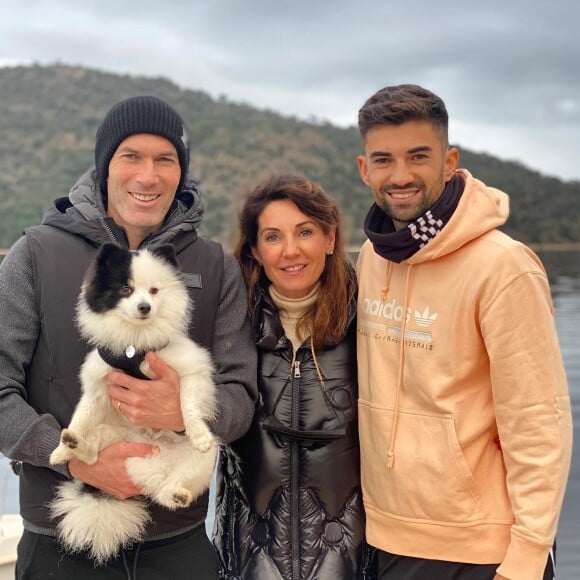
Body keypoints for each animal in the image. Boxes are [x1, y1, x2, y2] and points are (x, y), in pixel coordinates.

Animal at [49, 242, 218, 564]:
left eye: (153, 291)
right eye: (126, 289)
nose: (144, 307)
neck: (134, 346)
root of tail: (152, 466)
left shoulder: (191, 371)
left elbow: (187, 405)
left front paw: (199, 434)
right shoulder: (98, 384)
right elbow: (83, 414)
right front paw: (59, 451)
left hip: (201, 462)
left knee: (169, 490)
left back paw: (178, 493)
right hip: (111, 437)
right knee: (92, 455)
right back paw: (74, 444)